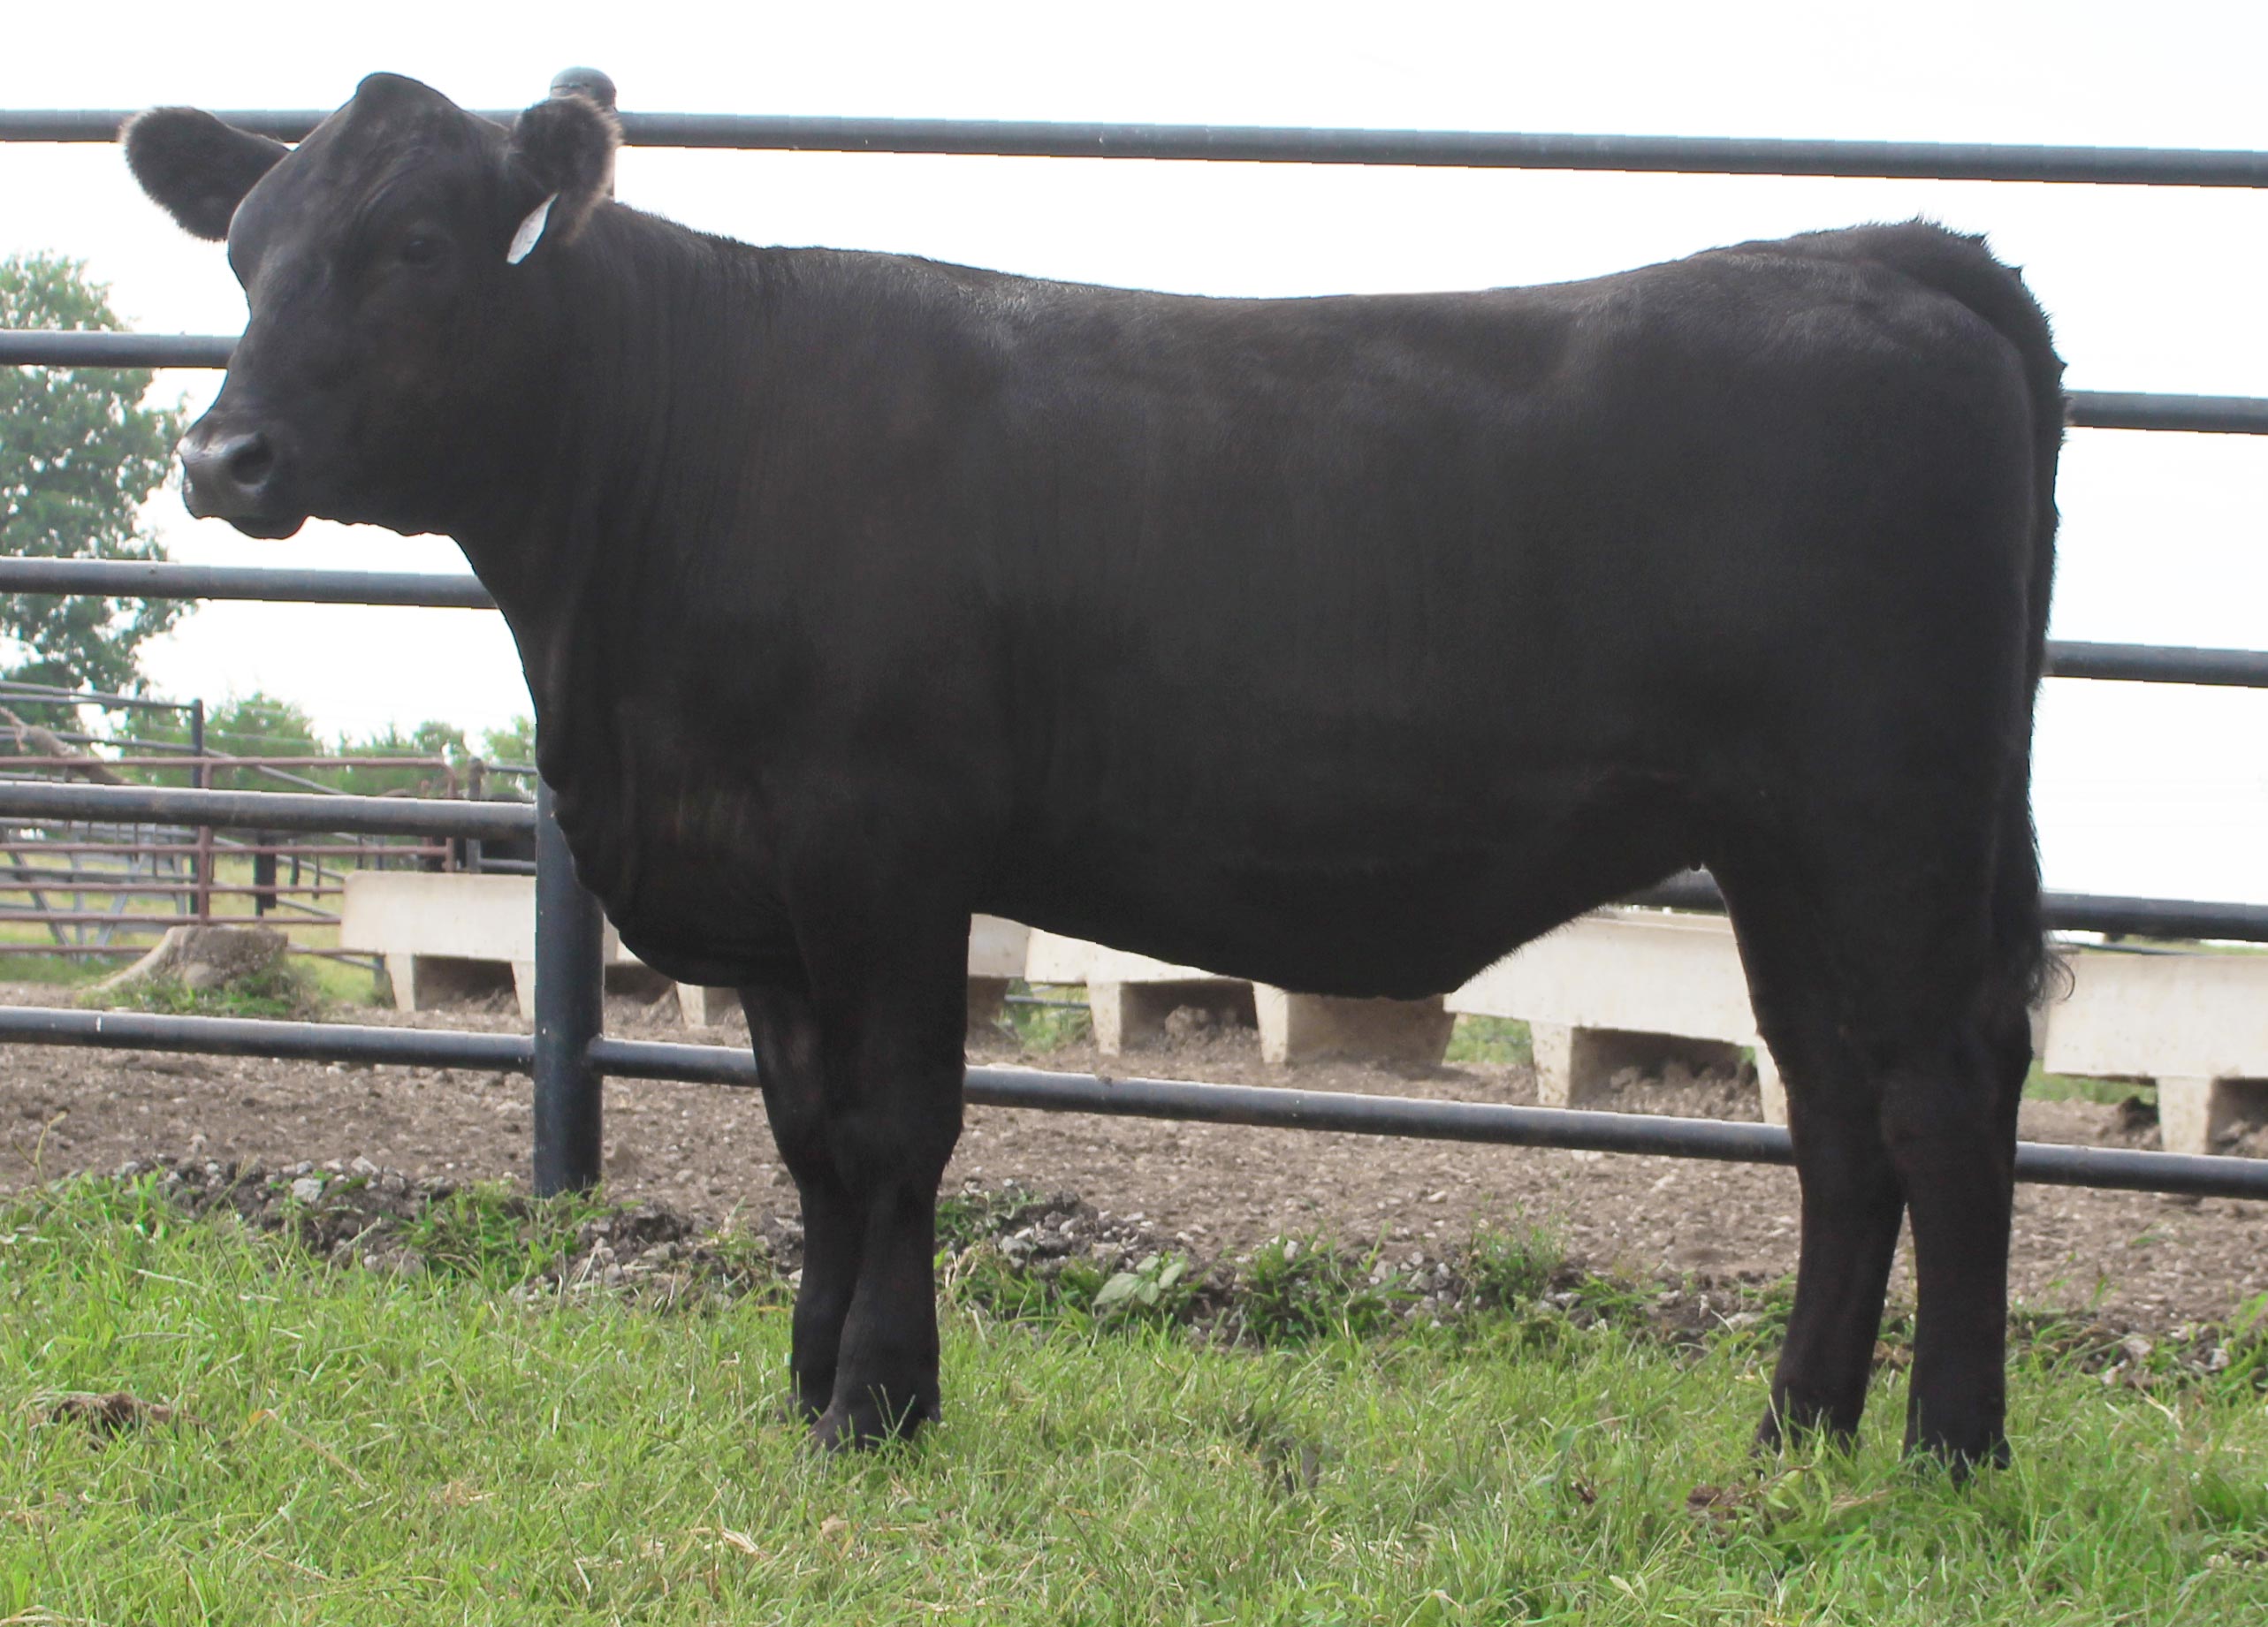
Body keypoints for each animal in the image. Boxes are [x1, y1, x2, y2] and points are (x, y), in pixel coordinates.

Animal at [123, 72, 2061, 1466]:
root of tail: (1865, 255)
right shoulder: (762, 884)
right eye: (246, 248)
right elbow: (807, 1140)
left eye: (418, 240)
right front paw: (808, 1381)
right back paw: (1793, 1429)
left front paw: (878, 1403)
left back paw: (1945, 1455)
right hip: (1783, 849)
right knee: (1837, 1117)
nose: (226, 454)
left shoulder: (881, 839)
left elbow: (895, 1124)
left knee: (1940, 1100)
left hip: (1882, 816)